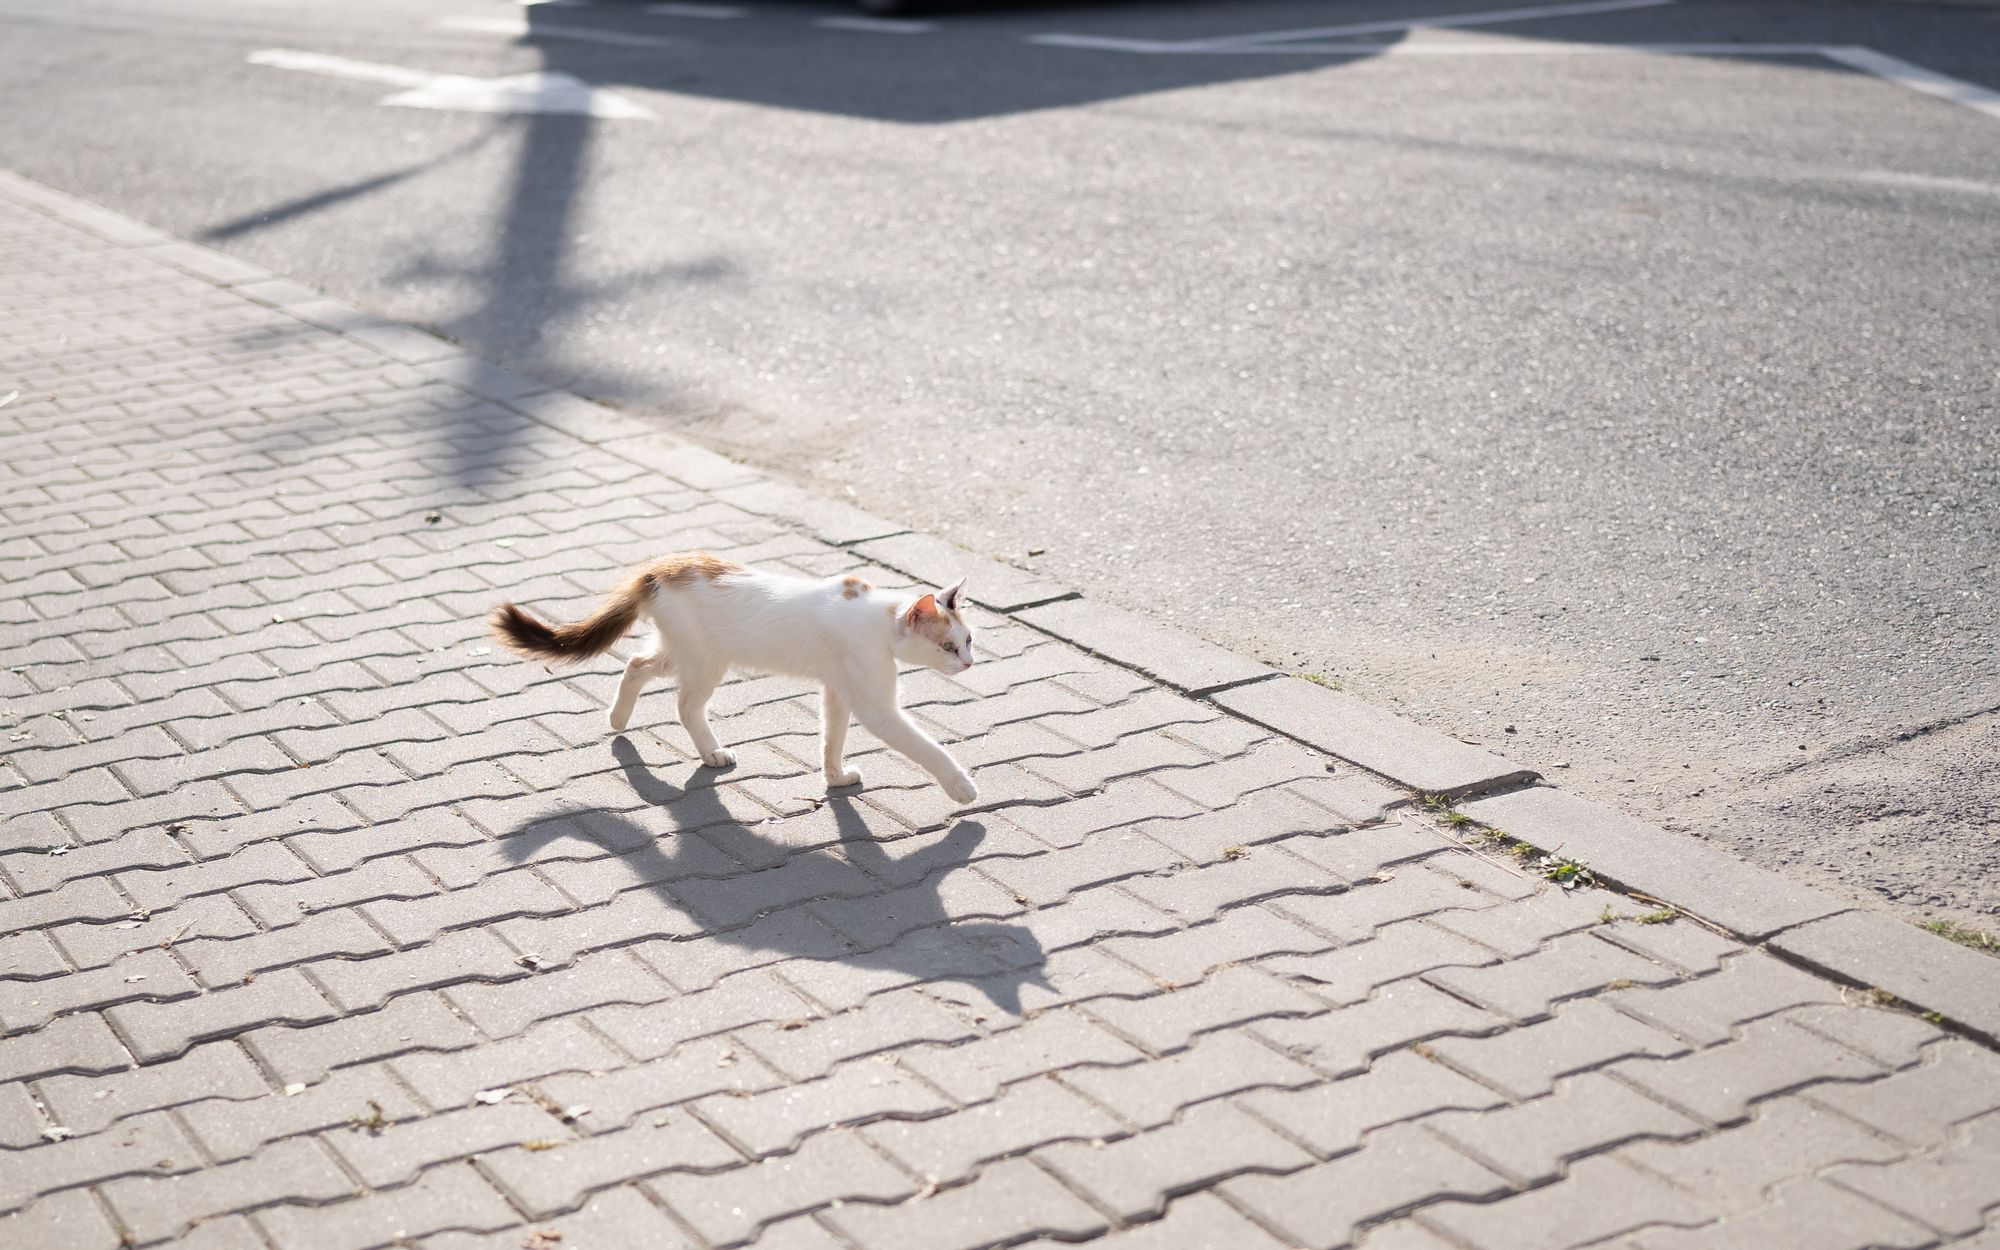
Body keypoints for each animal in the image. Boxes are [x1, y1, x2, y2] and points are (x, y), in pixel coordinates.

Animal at [492, 552, 976, 804]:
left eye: (969, 640)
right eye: (948, 647)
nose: (970, 664)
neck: (877, 617)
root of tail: (661, 568)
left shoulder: (838, 691)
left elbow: (831, 740)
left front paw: (835, 777)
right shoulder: (875, 705)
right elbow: (927, 748)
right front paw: (961, 787)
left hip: (682, 654)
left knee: (635, 664)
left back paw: (618, 718)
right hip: (705, 660)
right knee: (685, 704)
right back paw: (710, 752)